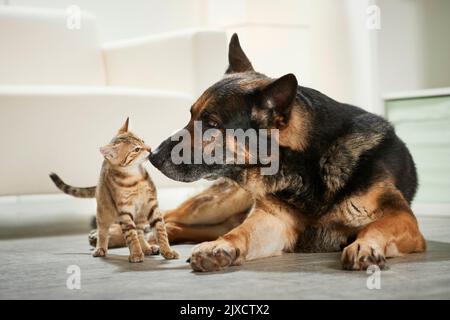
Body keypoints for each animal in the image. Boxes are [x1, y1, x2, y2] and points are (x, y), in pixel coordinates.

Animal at [51, 118, 179, 262]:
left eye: (142, 141)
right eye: (136, 149)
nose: (150, 149)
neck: (135, 179)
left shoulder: (151, 205)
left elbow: (160, 230)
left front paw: (167, 251)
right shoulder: (124, 210)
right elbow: (130, 234)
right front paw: (136, 253)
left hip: (141, 215)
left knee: (140, 231)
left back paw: (147, 248)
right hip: (103, 211)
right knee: (103, 231)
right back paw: (100, 249)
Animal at [92, 33, 426, 272]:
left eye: (211, 124)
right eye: (190, 115)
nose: (154, 154)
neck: (308, 166)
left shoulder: (402, 218)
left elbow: (376, 226)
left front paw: (365, 246)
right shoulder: (273, 221)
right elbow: (240, 234)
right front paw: (220, 248)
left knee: (171, 225)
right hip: (218, 204)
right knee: (166, 218)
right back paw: (115, 235)